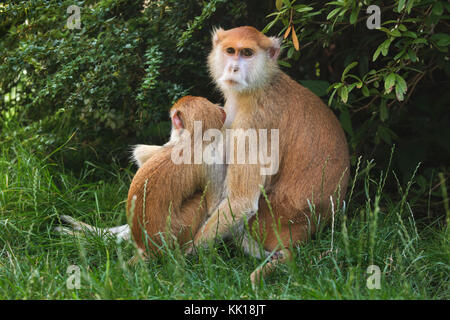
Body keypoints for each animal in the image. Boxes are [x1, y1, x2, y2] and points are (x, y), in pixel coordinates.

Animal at [191, 26, 352, 284]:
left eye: (247, 53)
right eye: (230, 51)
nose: (233, 68)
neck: (262, 84)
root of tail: (303, 229)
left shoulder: (255, 120)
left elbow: (242, 201)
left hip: (268, 221)